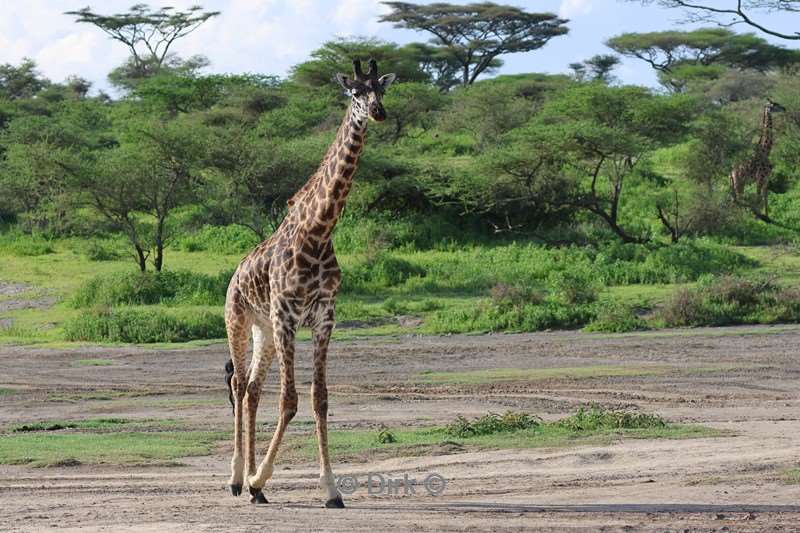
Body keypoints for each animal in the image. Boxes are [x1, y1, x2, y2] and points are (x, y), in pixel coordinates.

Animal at [220, 58, 396, 508]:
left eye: (382, 89)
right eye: (354, 92)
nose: (378, 113)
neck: (318, 233)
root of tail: (235, 273)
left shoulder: (323, 319)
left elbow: (319, 399)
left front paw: (330, 490)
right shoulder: (286, 317)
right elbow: (290, 399)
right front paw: (258, 479)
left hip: (264, 331)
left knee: (251, 389)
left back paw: (253, 485)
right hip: (239, 320)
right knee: (237, 383)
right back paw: (237, 479)